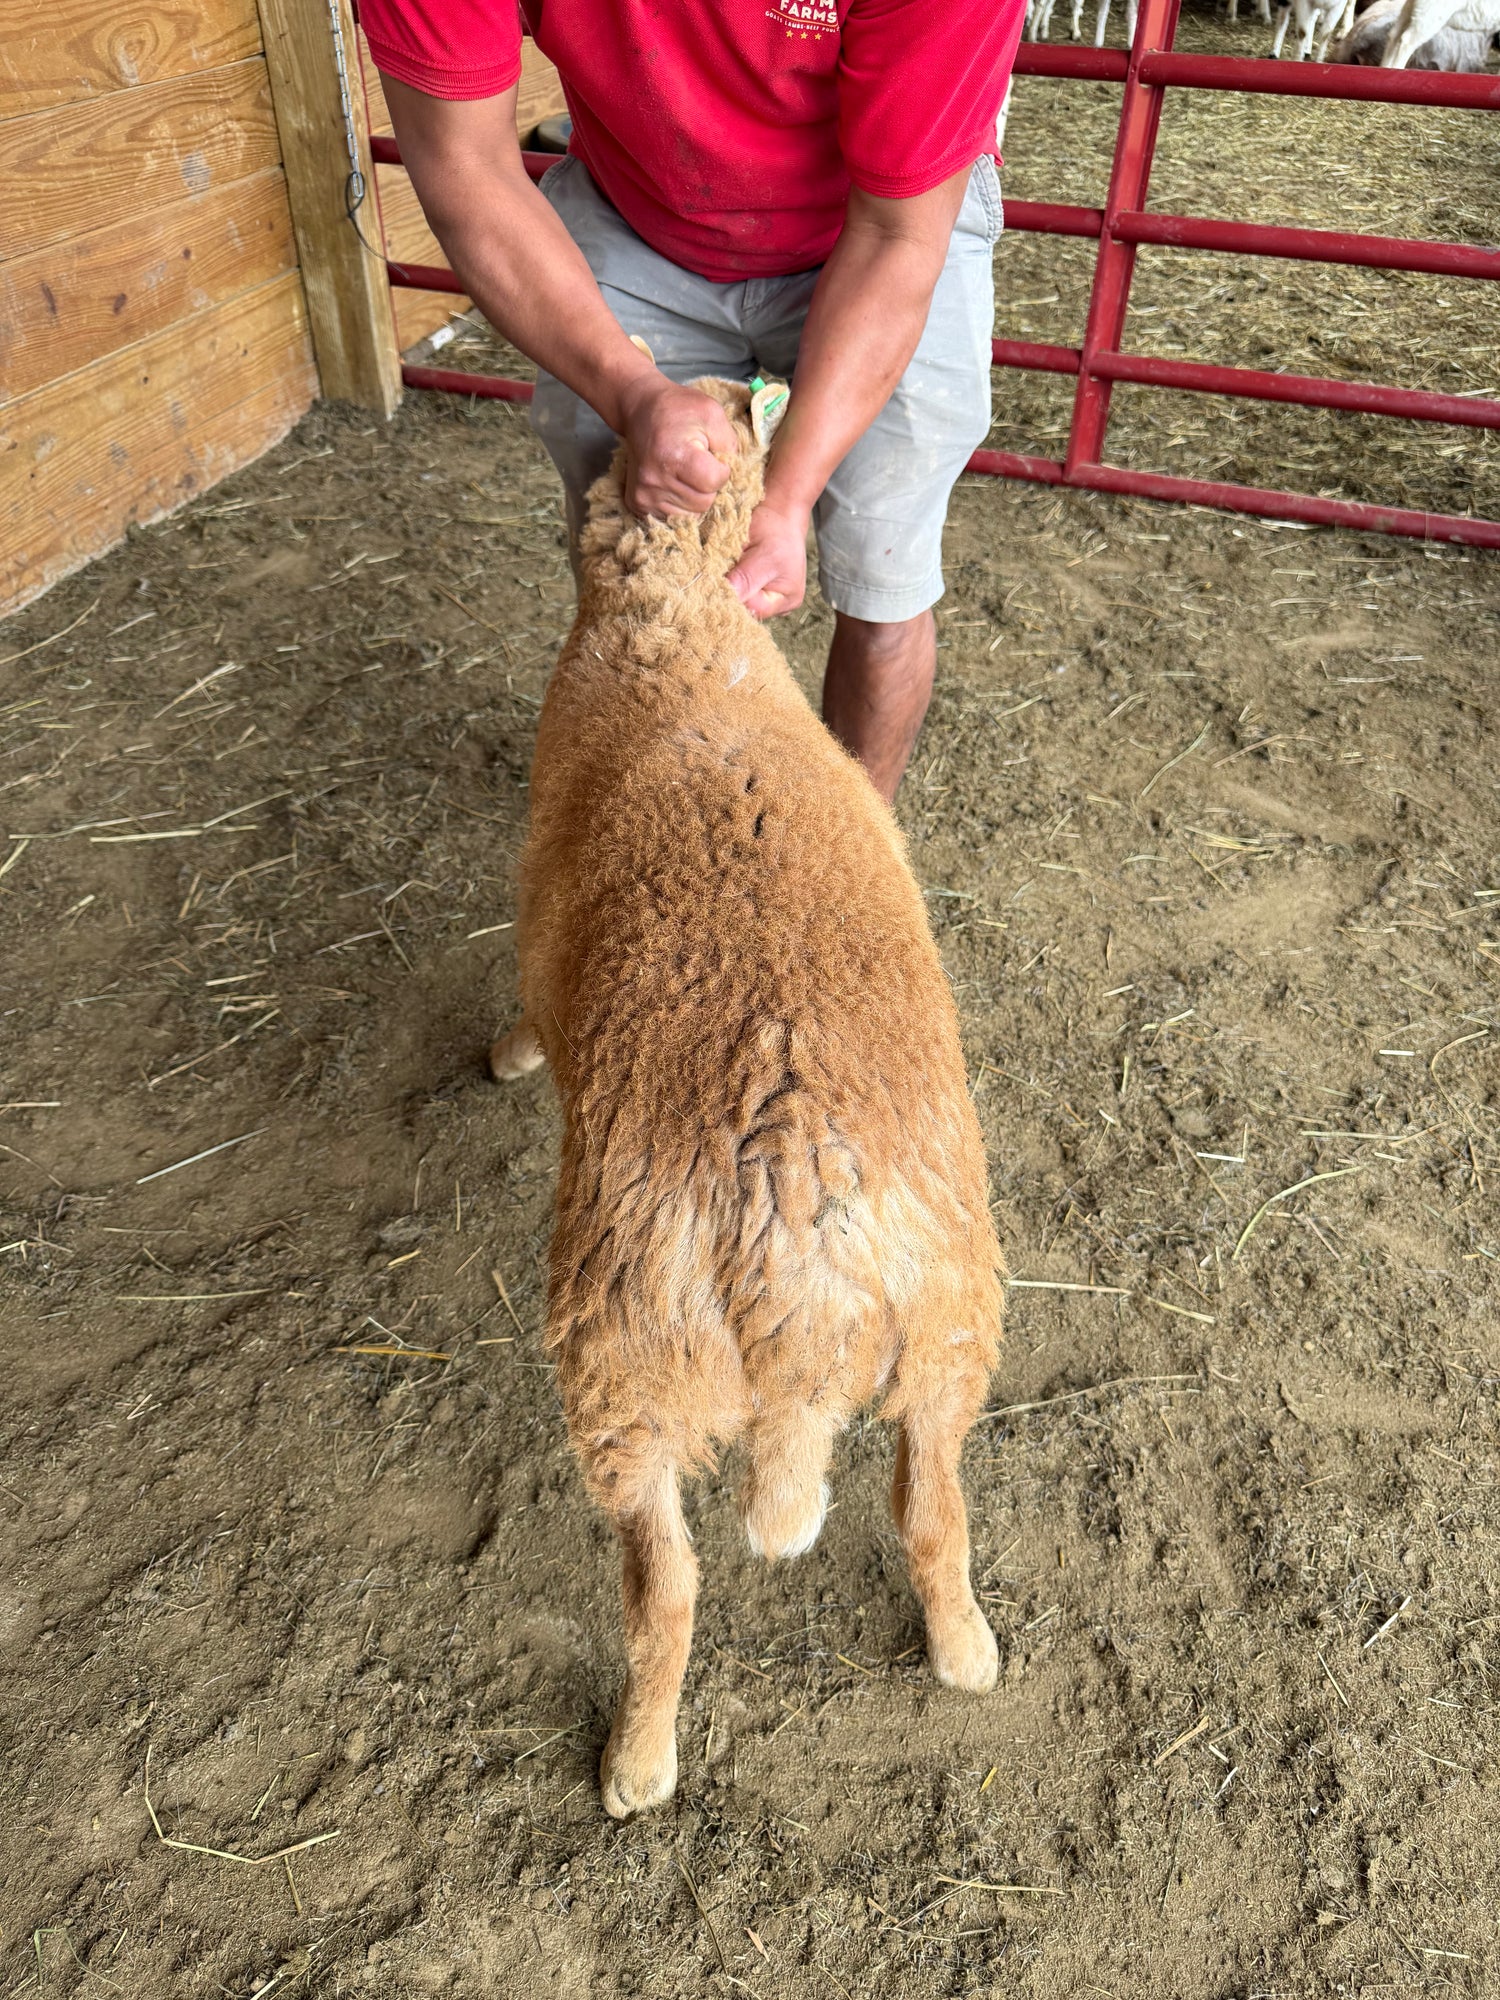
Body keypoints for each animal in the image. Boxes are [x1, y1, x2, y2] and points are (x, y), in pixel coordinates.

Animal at [489, 376, 1006, 1819]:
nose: (718, 392)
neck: (680, 628)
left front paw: (506, 1059)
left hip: (622, 1362)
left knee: (664, 1590)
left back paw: (637, 1761)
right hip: (951, 1316)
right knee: (931, 1512)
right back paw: (966, 1652)